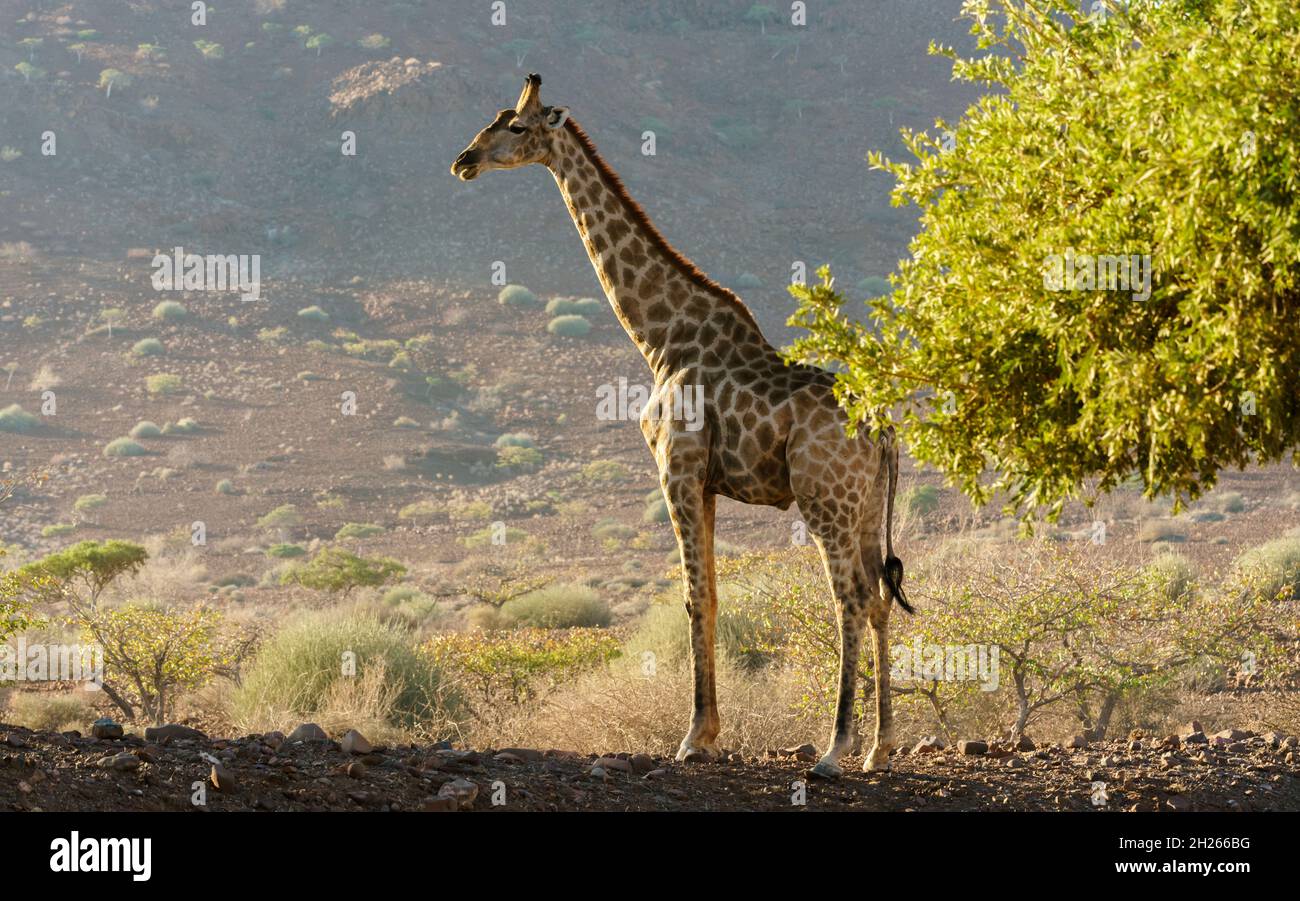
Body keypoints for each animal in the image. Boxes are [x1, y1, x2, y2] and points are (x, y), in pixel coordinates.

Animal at [454, 75, 915, 780]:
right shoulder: (706, 483)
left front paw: (694, 737)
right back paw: (879, 747)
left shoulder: (677, 469)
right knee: (882, 597)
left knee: (853, 599)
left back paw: (835, 749)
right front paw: (708, 731)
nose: (463, 161)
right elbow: (713, 596)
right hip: (864, 506)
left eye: (516, 128)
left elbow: (695, 597)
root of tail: (883, 429)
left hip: (825, 500)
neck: (659, 337)